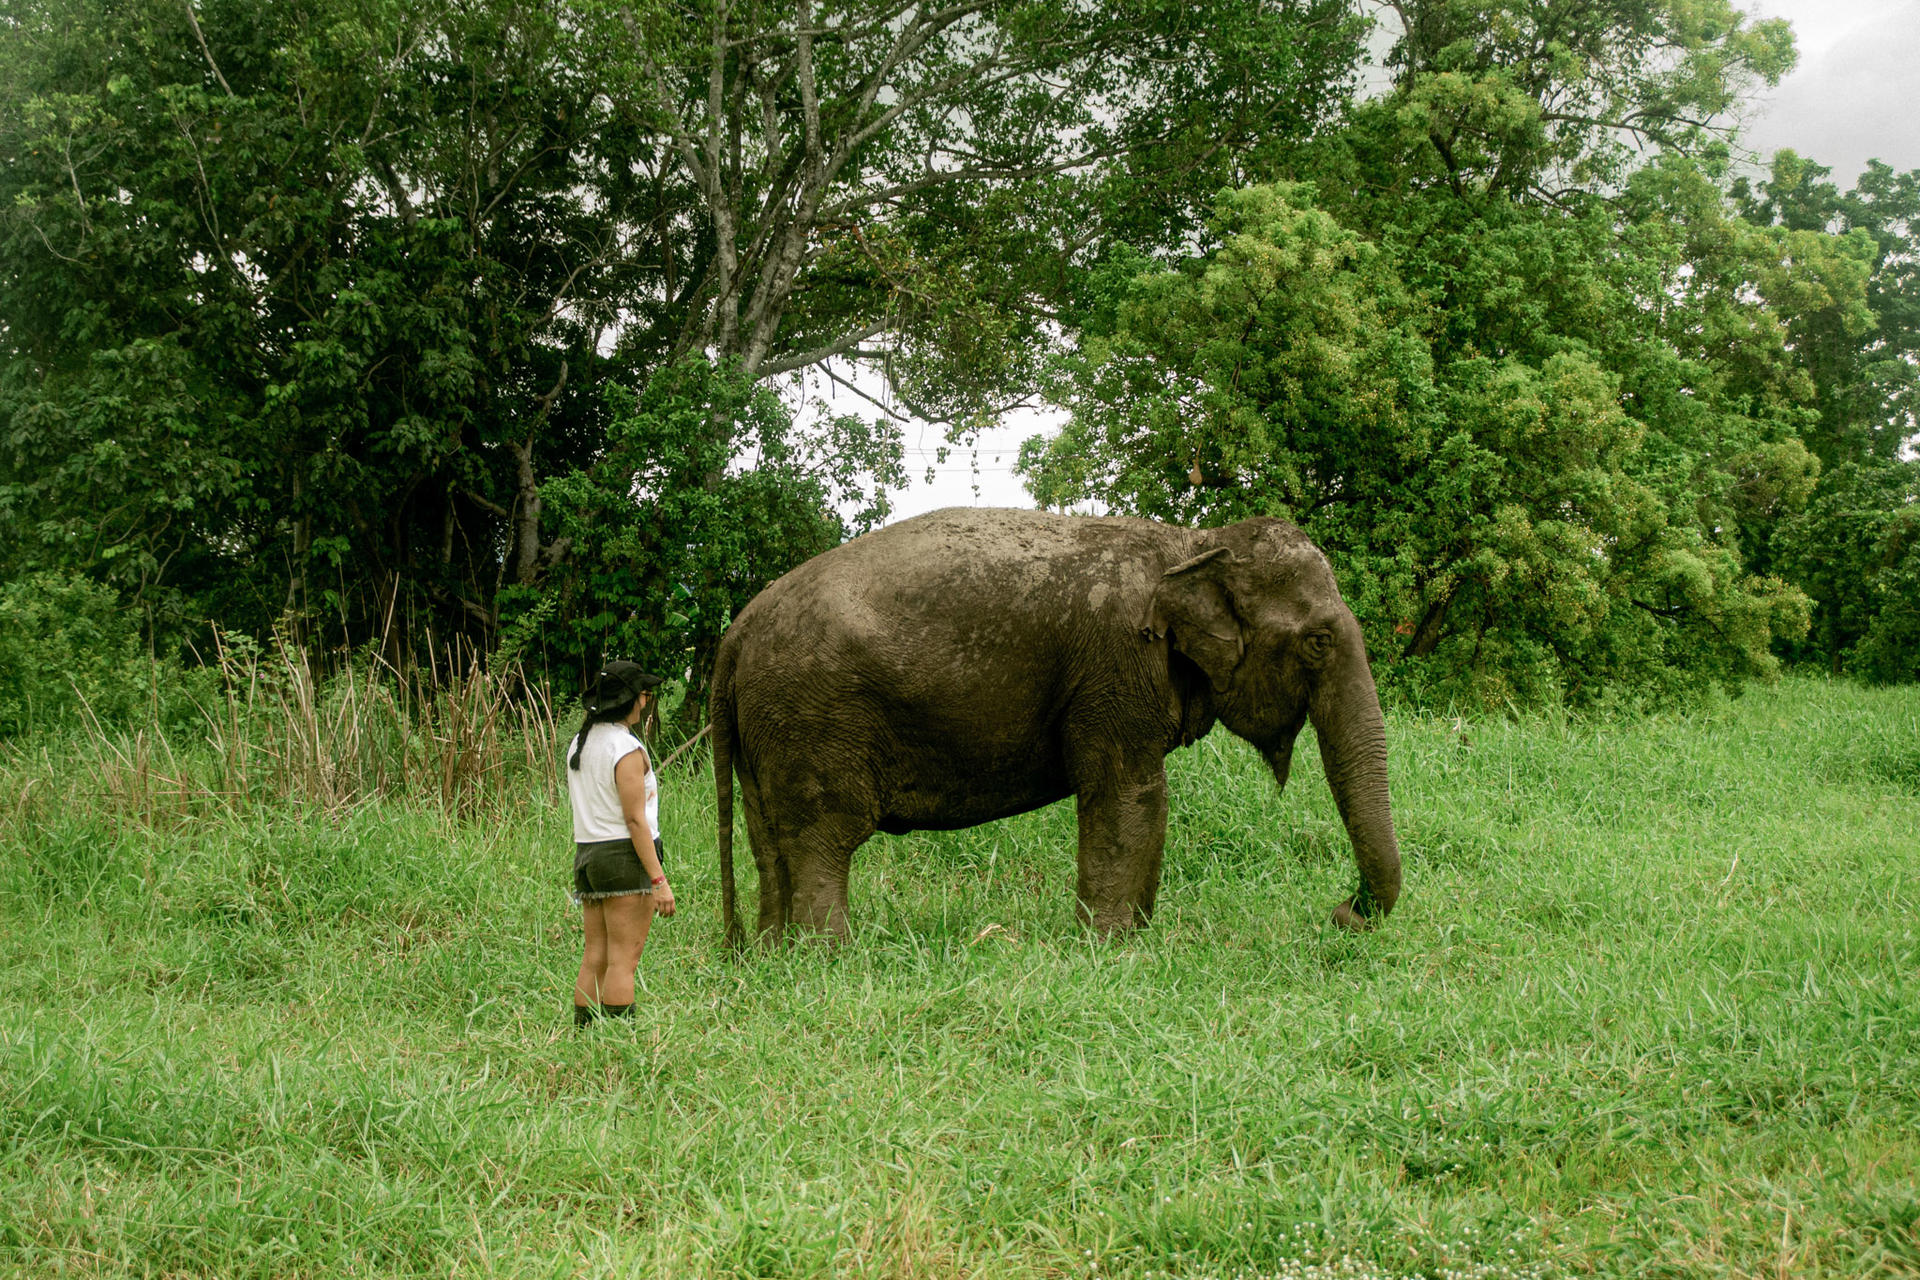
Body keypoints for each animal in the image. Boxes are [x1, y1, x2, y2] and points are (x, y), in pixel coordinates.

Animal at [709, 507, 1402, 943]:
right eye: (1318, 641)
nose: (1342, 913)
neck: (1192, 542)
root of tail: (736, 633)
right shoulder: (1115, 666)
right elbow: (1129, 795)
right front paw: (1109, 948)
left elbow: (1145, 803)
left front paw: (1134, 940)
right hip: (812, 719)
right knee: (822, 841)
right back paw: (829, 958)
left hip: (766, 731)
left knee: (770, 842)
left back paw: (773, 954)